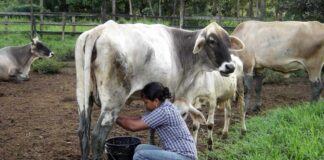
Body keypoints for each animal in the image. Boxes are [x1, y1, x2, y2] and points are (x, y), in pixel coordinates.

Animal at [75, 20, 243, 160]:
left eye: (228, 42)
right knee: (97, 137)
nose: (230, 67)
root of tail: (101, 29)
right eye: (212, 41)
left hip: (83, 96)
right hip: (113, 101)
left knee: (83, 133)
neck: (182, 51)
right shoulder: (176, 97)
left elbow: (151, 127)